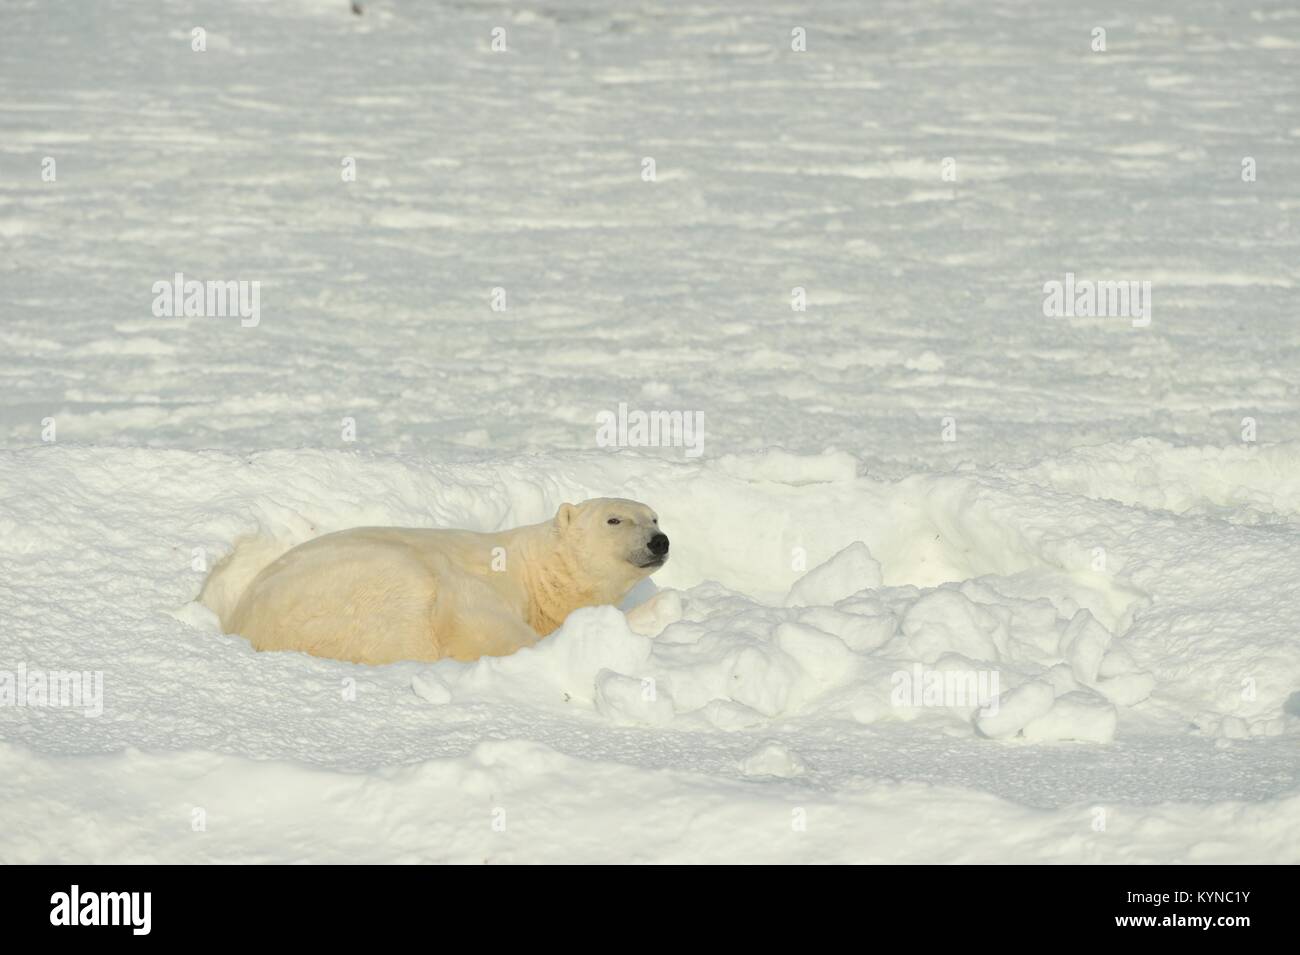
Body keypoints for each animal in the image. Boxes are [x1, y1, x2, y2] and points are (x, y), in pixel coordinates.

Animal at [202, 501, 676, 665]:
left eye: (654, 516)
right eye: (614, 519)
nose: (660, 541)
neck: (535, 572)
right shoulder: (484, 586)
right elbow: (478, 618)